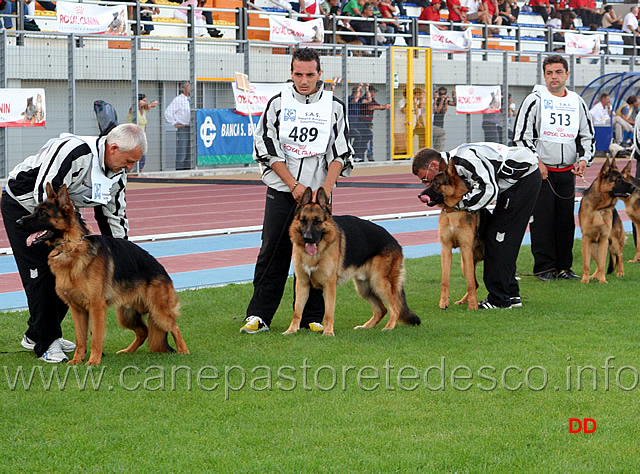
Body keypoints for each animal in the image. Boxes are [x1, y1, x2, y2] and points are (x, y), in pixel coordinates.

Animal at [16, 183, 189, 364]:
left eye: (42, 213)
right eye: (35, 210)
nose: (17, 222)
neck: (71, 248)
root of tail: (162, 269)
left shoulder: (96, 307)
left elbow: (96, 338)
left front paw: (93, 361)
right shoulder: (77, 309)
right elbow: (80, 338)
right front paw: (77, 361)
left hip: (158, 312)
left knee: (174, 327)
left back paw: (184, 351)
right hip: (126, 315)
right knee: (145, 331)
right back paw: (128, 351)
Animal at [286, 187, 420, 336]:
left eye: (317, 222)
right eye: (303, 221)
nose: (307, 238)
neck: (315, 254)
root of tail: (395, 241)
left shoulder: (329, 286)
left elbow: (328, 312)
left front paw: (328, 332)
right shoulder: (302, 284)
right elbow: (297, 311)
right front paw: (291, 330)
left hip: (379, 283)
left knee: (395, 308)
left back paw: (389, 327)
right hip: (364, 287)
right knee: (381, 310)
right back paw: (366, 327)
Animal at [420, 159, 484, 312]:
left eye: (436, 183)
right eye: (430, 182)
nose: (419, 195)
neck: (453, 211)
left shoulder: (466, 249)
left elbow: (470, 283)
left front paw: (473, 305)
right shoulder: (446, 249)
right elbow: (445, 280)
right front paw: (443, 302)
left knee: (474, 282)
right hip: (464, 264)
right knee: (475, 282)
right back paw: (462, 301)